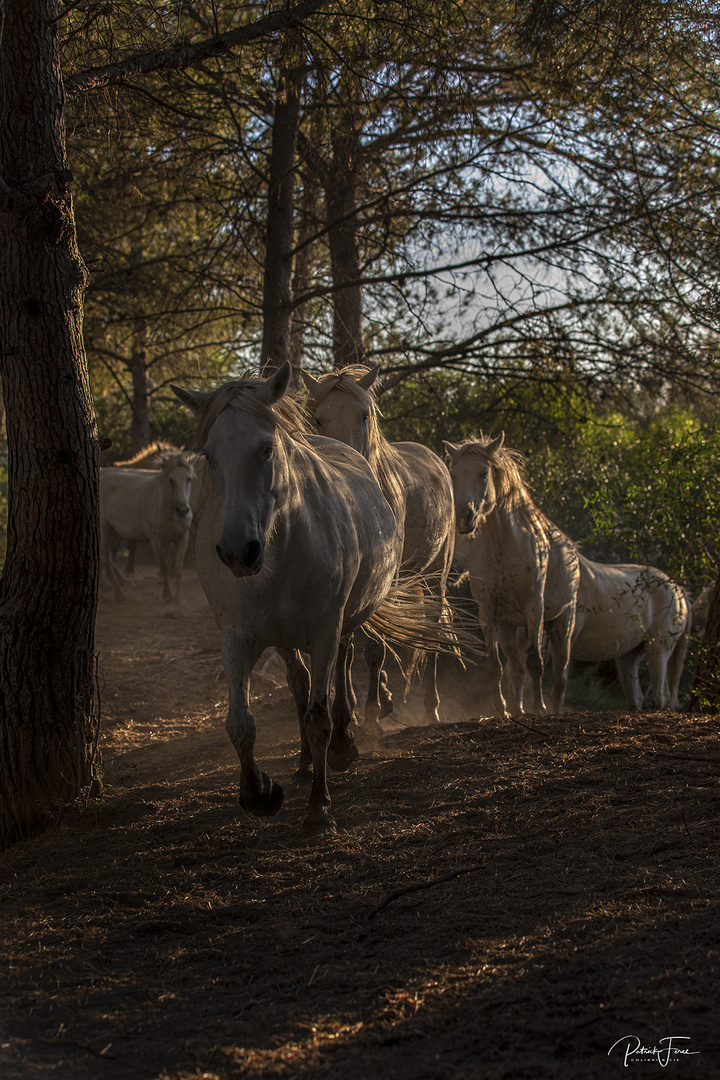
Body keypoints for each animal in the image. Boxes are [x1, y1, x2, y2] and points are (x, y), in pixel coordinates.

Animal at [99, 453, 194, 604]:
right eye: (171, 480)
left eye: (188, 479)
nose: (183, 510)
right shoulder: (156, 540)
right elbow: (163, 567)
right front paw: (167, 594)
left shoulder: (182, 538)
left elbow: (178, 569)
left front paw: (177, 600)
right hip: (105, 530)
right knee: (106, 559)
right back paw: (119, 594)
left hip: (115, 532)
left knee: (107, 558)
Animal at [302, 365, 453, 725]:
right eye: (318, 419)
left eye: (364, 415)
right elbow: (347, 645)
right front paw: (355, 708)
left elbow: (374, 646)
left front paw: (370, 712)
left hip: (436, 571)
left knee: (434, 622)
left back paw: (430, 706)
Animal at [444, 429, 578, 717]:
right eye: (454, 474)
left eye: (484, 473)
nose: (463, 518)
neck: (503, 545)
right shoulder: (488, 612)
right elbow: (496, 666)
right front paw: (501, 709)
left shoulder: (534, 608)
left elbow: (536, 663)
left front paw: (539, 708)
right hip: (510, 627)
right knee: (516, 668)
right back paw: (517, 709)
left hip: (562, 624)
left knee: (560, 674)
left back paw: (552, 709)